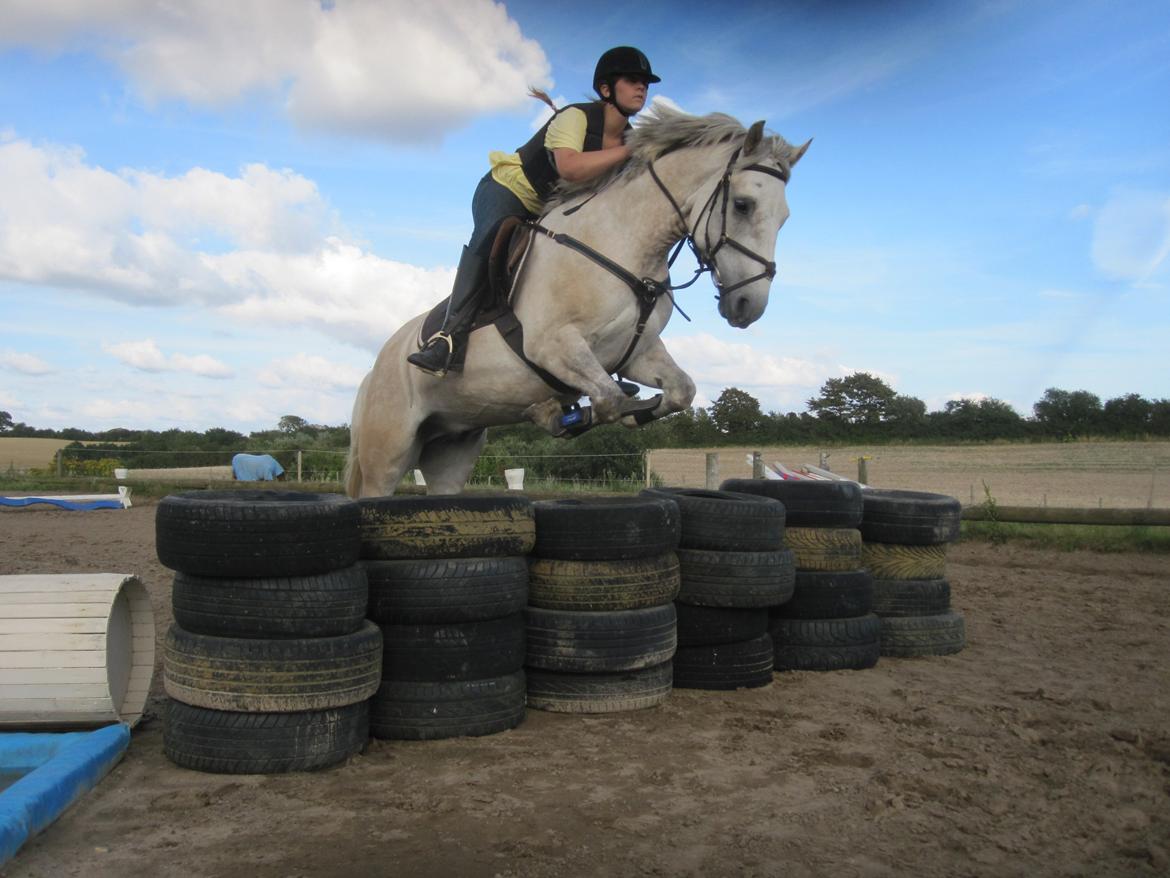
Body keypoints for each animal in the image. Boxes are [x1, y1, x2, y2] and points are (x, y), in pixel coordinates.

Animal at [341, 103, 809, 498]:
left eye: (785, 218)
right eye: (743, 205)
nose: (748, 306)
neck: (623, 242)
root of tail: (375, 368)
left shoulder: (635, 353)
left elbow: (678, 391)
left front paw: (617, 412)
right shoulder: (555, 346)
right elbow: (609, 399)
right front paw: (558, 413)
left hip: (451, 449)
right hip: (389, 451)